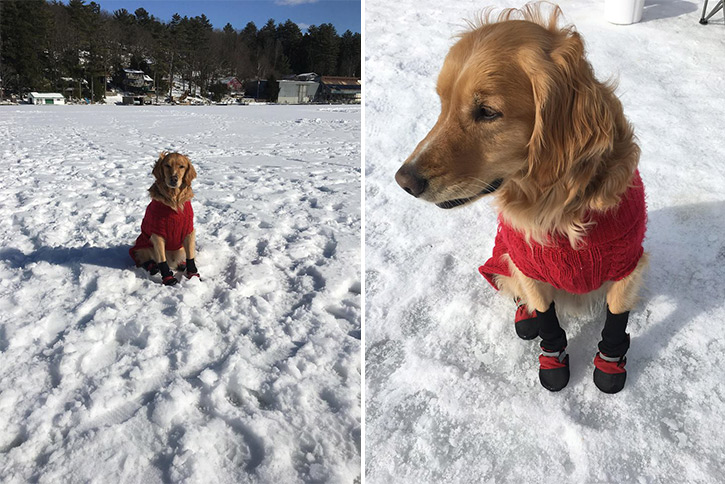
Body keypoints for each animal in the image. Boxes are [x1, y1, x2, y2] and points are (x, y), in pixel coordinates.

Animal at [129, 153, 199, 286]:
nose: (174, 179)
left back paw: (182, 265)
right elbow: (162, 260)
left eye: (182, 166)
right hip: (142, 246)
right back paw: (153, 267)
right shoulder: (157, 235)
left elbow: (190, 256)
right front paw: (168, 279)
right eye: (167, 165)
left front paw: (193, 275)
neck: (174, 199)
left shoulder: (189, 231)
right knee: (148, 260)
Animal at [394, 4, 648, 394]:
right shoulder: (527, 264)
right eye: (443, 103)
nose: (403, 181)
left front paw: (609, 365)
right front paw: (553, 361)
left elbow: (616, 321)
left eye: (487, 112)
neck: (558, 207)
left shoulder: (628, 264)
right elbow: (547, 319)